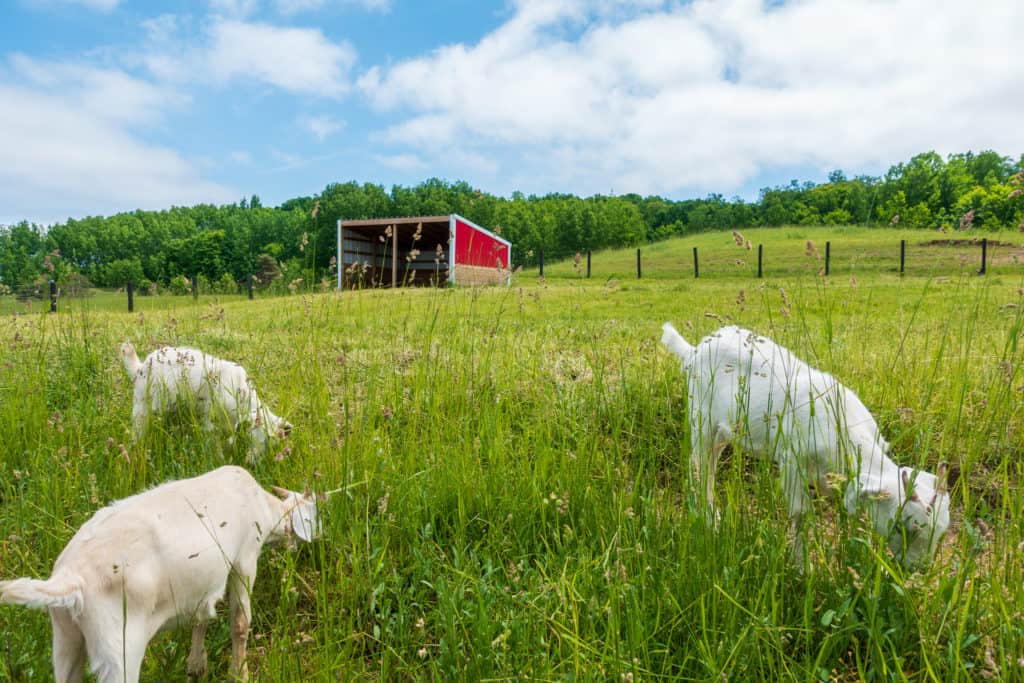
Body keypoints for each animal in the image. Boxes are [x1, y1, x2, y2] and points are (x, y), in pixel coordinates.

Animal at [0, 466, 319, 679]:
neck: (262, 504)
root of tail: (70, 580)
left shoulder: (203, 586)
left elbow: (202, 617)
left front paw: (195, 666)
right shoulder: (245, 558)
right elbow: (240, 622)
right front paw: (239, 674)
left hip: (66, 639)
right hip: (119, 649)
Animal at [122, 342, 296, 458]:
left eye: (270, 443)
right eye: (251, 438)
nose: (251, 463)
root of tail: (141, 367)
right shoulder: (210, 421)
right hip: (141, 406)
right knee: (137, 430)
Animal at [663, 323, 950, 569]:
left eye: (941, 532)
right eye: (903, 527)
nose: (919, 569)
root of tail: (693, 350)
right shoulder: (792, 460)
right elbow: (801, 513)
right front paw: (803, 567)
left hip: (723, 431)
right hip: (700, 418)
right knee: (699, 465)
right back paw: (708, 519)